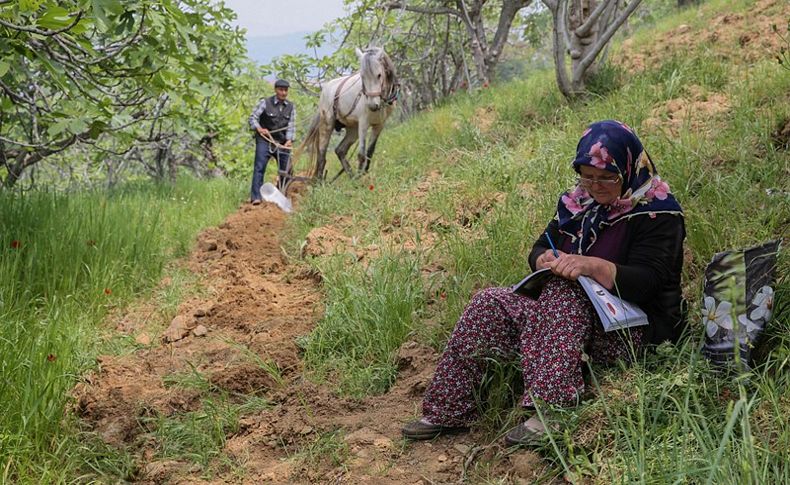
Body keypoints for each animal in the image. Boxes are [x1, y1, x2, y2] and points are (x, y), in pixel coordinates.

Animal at [304, 46, 402, 180]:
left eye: (379, 75)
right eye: (362, 76)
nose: (372, 105)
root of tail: (325, 90)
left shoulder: (379, 125)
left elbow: (369, 152)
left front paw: (364, 173)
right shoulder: (363, 123)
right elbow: (361, 154)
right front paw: (360, 177)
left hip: (353, 129)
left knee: (340, 150)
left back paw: (351, 175)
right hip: (327, 124)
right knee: (322, 156)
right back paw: (320, 181)